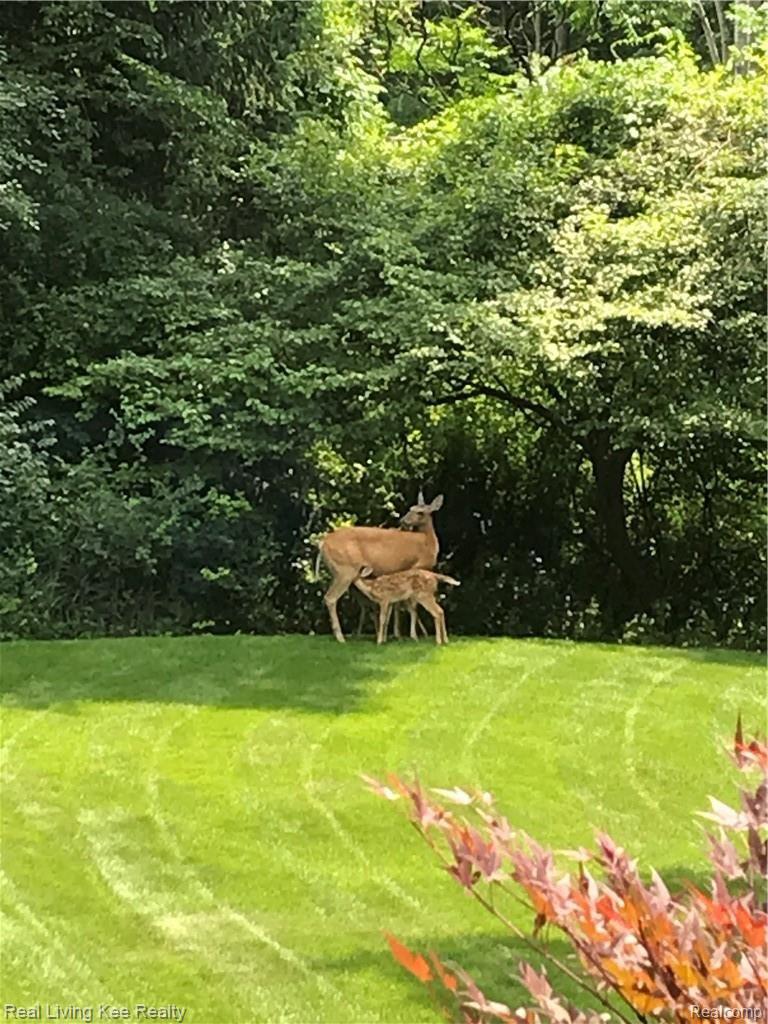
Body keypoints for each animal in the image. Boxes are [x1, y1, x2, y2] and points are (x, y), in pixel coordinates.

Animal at [316, 491, 444, 643]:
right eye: (411, 508)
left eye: (420, 512)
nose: (403, 521)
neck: (429, 542)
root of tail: (322, 543)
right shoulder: (417, 567)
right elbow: (411, 604)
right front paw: (413, 635)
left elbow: (396, 603)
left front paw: (394, 634)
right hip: (345, 571)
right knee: (330, 598)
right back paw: (341, 638)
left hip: (336, 572)